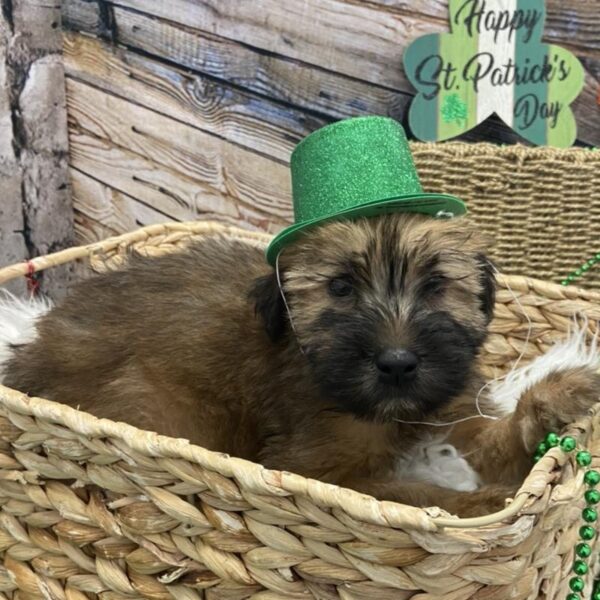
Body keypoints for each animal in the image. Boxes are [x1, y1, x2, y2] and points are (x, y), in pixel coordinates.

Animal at [3, 214, 596, 516]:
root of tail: (34, 347)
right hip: (158, 402)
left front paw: (561, 390)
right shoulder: (319, 470)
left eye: (434, 285)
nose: (397, 364)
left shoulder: (458, 417)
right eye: (340, 288)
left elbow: (502, 444)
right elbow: (406, 492)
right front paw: (477, 504)